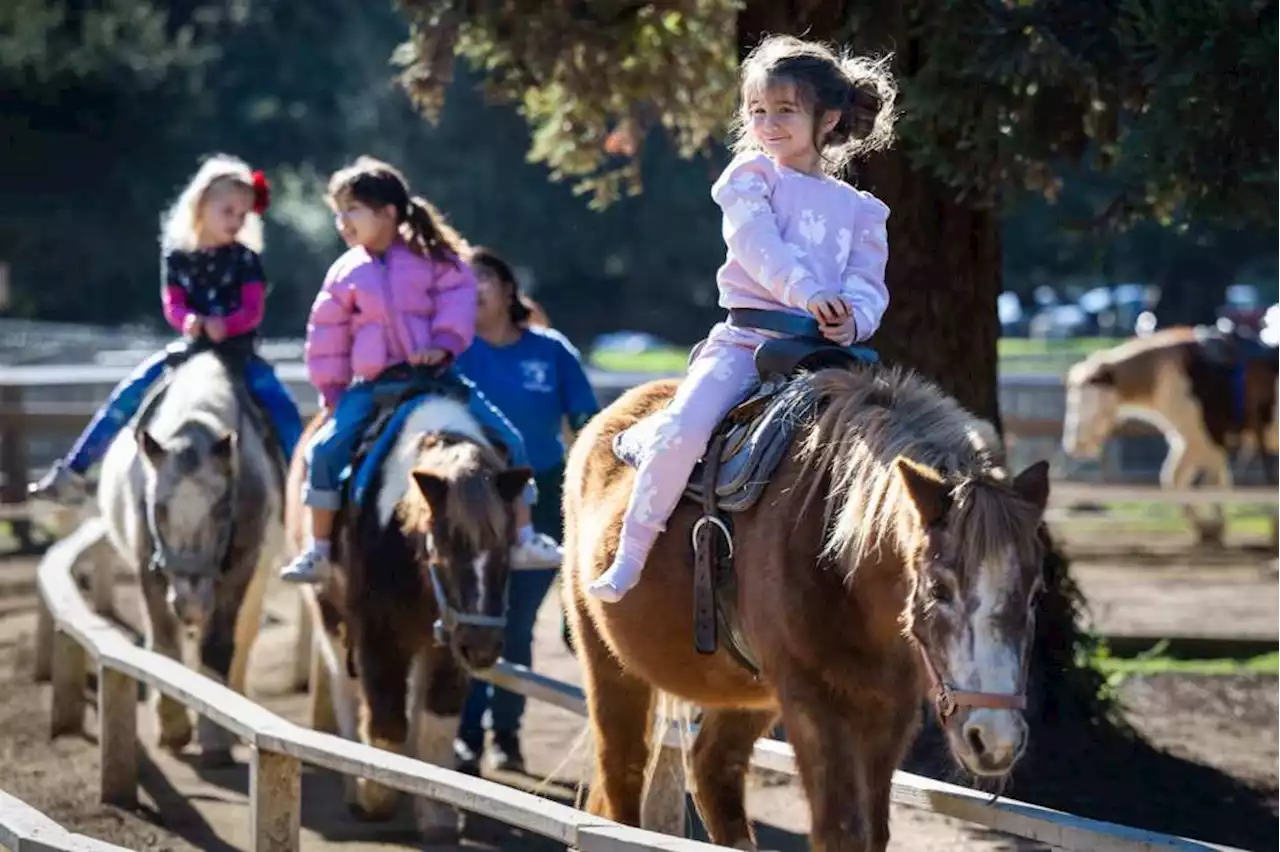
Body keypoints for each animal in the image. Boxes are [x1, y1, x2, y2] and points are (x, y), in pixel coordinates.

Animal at [97, 347, 288, 757]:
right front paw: (172, 727)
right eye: (158, 508)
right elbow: (165, 644)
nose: (190, 601)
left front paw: (216, 735)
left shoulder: (241, 569)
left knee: (243, 636)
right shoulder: (148, 567)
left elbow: (219, 645)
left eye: (222, 508)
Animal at [286, 388, 529, 834]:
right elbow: (386, 722)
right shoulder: (378, 638)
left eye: (506, 548)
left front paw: (437, 812)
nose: (483, 648)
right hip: (331, 616)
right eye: (443, 547)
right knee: (345, 689)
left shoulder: (449, 644)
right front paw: (374, 796)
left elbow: (437, 720)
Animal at [560, 365, 1049, 849]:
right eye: (938, 588)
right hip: (608, 663)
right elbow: (841, 830)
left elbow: (872, 832)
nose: (995, 740)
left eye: (1034, 592)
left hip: (749, 696)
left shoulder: (891, 712)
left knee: (713, 768)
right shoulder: (812, 700)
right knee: (623, 773)